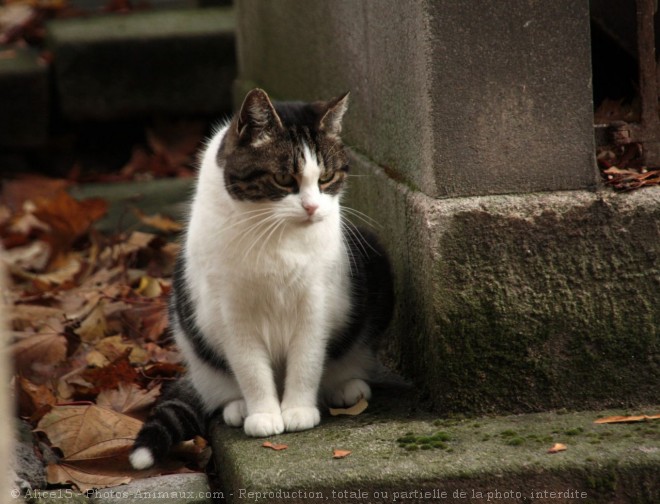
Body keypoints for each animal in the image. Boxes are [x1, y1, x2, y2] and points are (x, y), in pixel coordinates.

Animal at [131, 88, 394, 470]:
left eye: (326, 179)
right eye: (284, 180)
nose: (312, 208)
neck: (275, 235)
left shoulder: (315, 301)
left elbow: (307, 359)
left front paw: (298, 410)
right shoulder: (231, 310)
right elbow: (250, 367)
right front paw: (264, 415)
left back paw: (346, 387)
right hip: (186, 320)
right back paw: (237, 407)